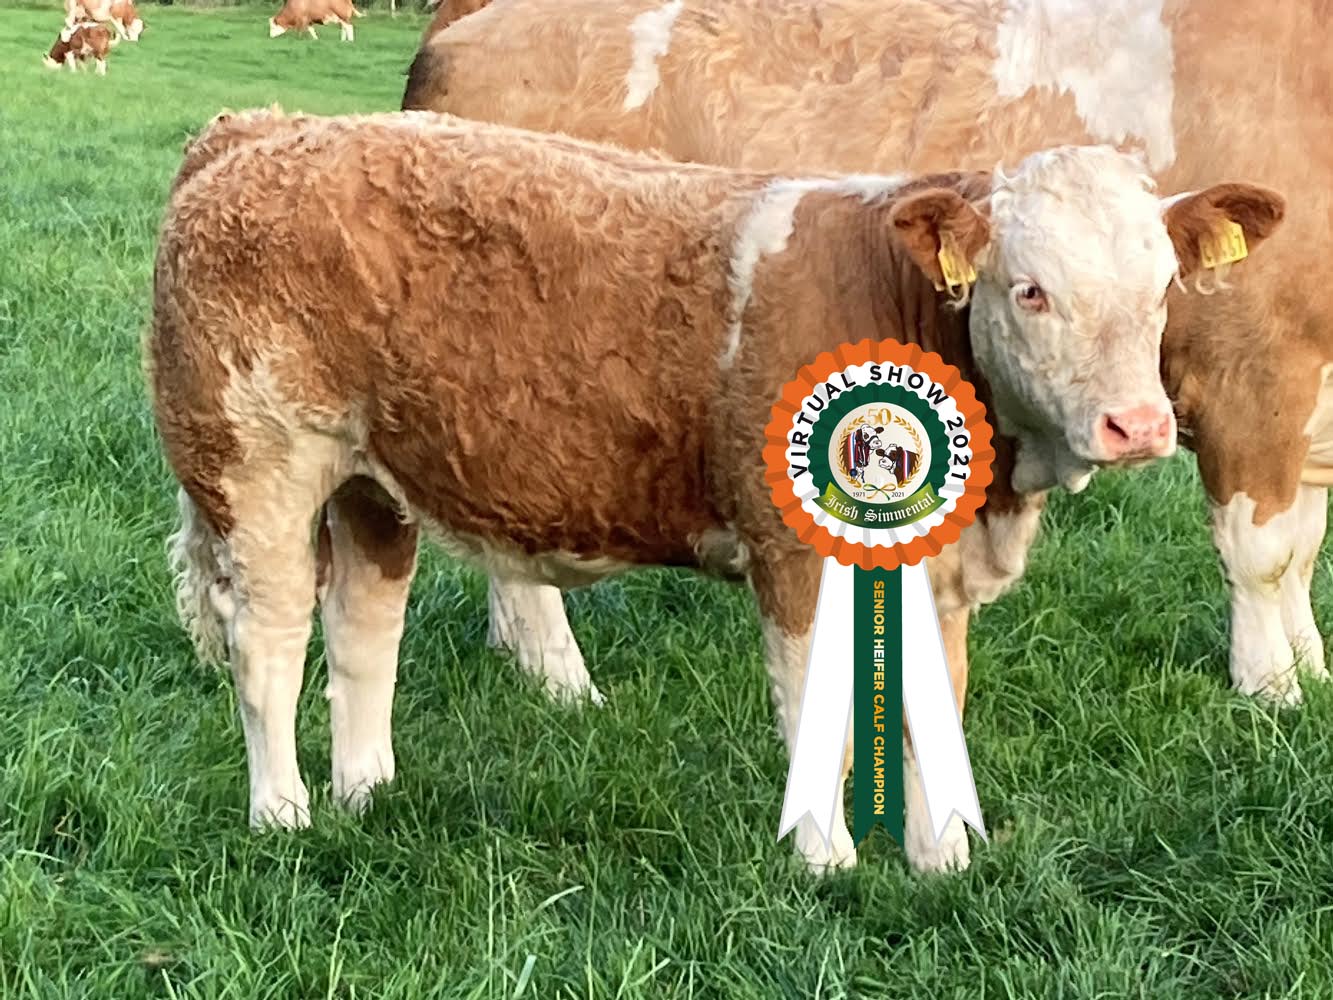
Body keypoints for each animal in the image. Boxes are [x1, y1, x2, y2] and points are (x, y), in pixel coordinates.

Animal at [148, 107, 1282, 873]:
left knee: (361, 627)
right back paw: (284, 813)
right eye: (1029, 289)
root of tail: (261, 128)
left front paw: (944, 861)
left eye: (1163, 288)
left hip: (371, 482)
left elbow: (932, 703)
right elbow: (816, 700)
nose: (1137, 425)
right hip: (258, 466)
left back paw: (367, 793)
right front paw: (827, 863)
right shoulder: (793, 549)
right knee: (268, 641)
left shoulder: (937, 561)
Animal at [403, 0, 1333, 711]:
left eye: (1165, 282)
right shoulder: (1251, 380)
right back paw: (563, 682)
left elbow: (1300, 556)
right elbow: (1261, 557)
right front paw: (1272, 693)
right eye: (1028, 290)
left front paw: (1311, 672)